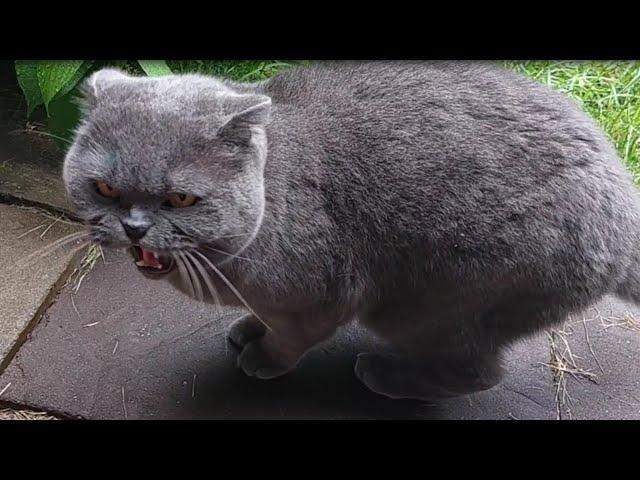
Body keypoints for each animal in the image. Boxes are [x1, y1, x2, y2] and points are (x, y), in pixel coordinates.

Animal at [62, 61, 640, 402]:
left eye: (181, 199)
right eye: (104, 188)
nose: (135, 227)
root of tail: (623, 193)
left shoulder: (323, 295)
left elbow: (293, 337)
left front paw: (264, 358)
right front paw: (249, 327)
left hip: (436, 306)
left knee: (479, 371)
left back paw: (384, 375)